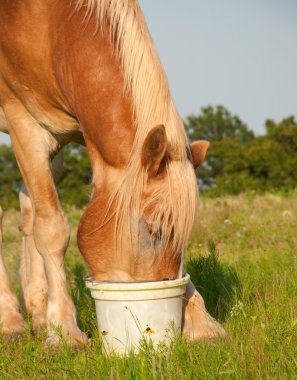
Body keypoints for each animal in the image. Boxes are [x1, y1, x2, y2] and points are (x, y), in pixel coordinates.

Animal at [0, 0, 224, 344]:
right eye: (153, 229)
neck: (52, 27)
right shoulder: (25, 126)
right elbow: (51, 230)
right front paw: (65, 332)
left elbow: (38, 220)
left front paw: (202, 325)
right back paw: (10, 321)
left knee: (27, 211)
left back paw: (36, 313)